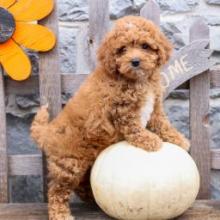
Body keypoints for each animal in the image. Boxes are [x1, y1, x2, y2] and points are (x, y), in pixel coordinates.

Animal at [30, 15, 189, 220]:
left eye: (145, 46)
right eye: (122, 49)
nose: (135, 61)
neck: (138, 80)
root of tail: (47, 132)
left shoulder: (154, 108)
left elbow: (162, 123)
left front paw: (178, 139)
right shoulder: (123, 110)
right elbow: (134, 128)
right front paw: (149, 140)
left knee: (80, 184)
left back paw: (91, 198)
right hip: (69, 164)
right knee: (57, 190)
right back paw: (60, 214)